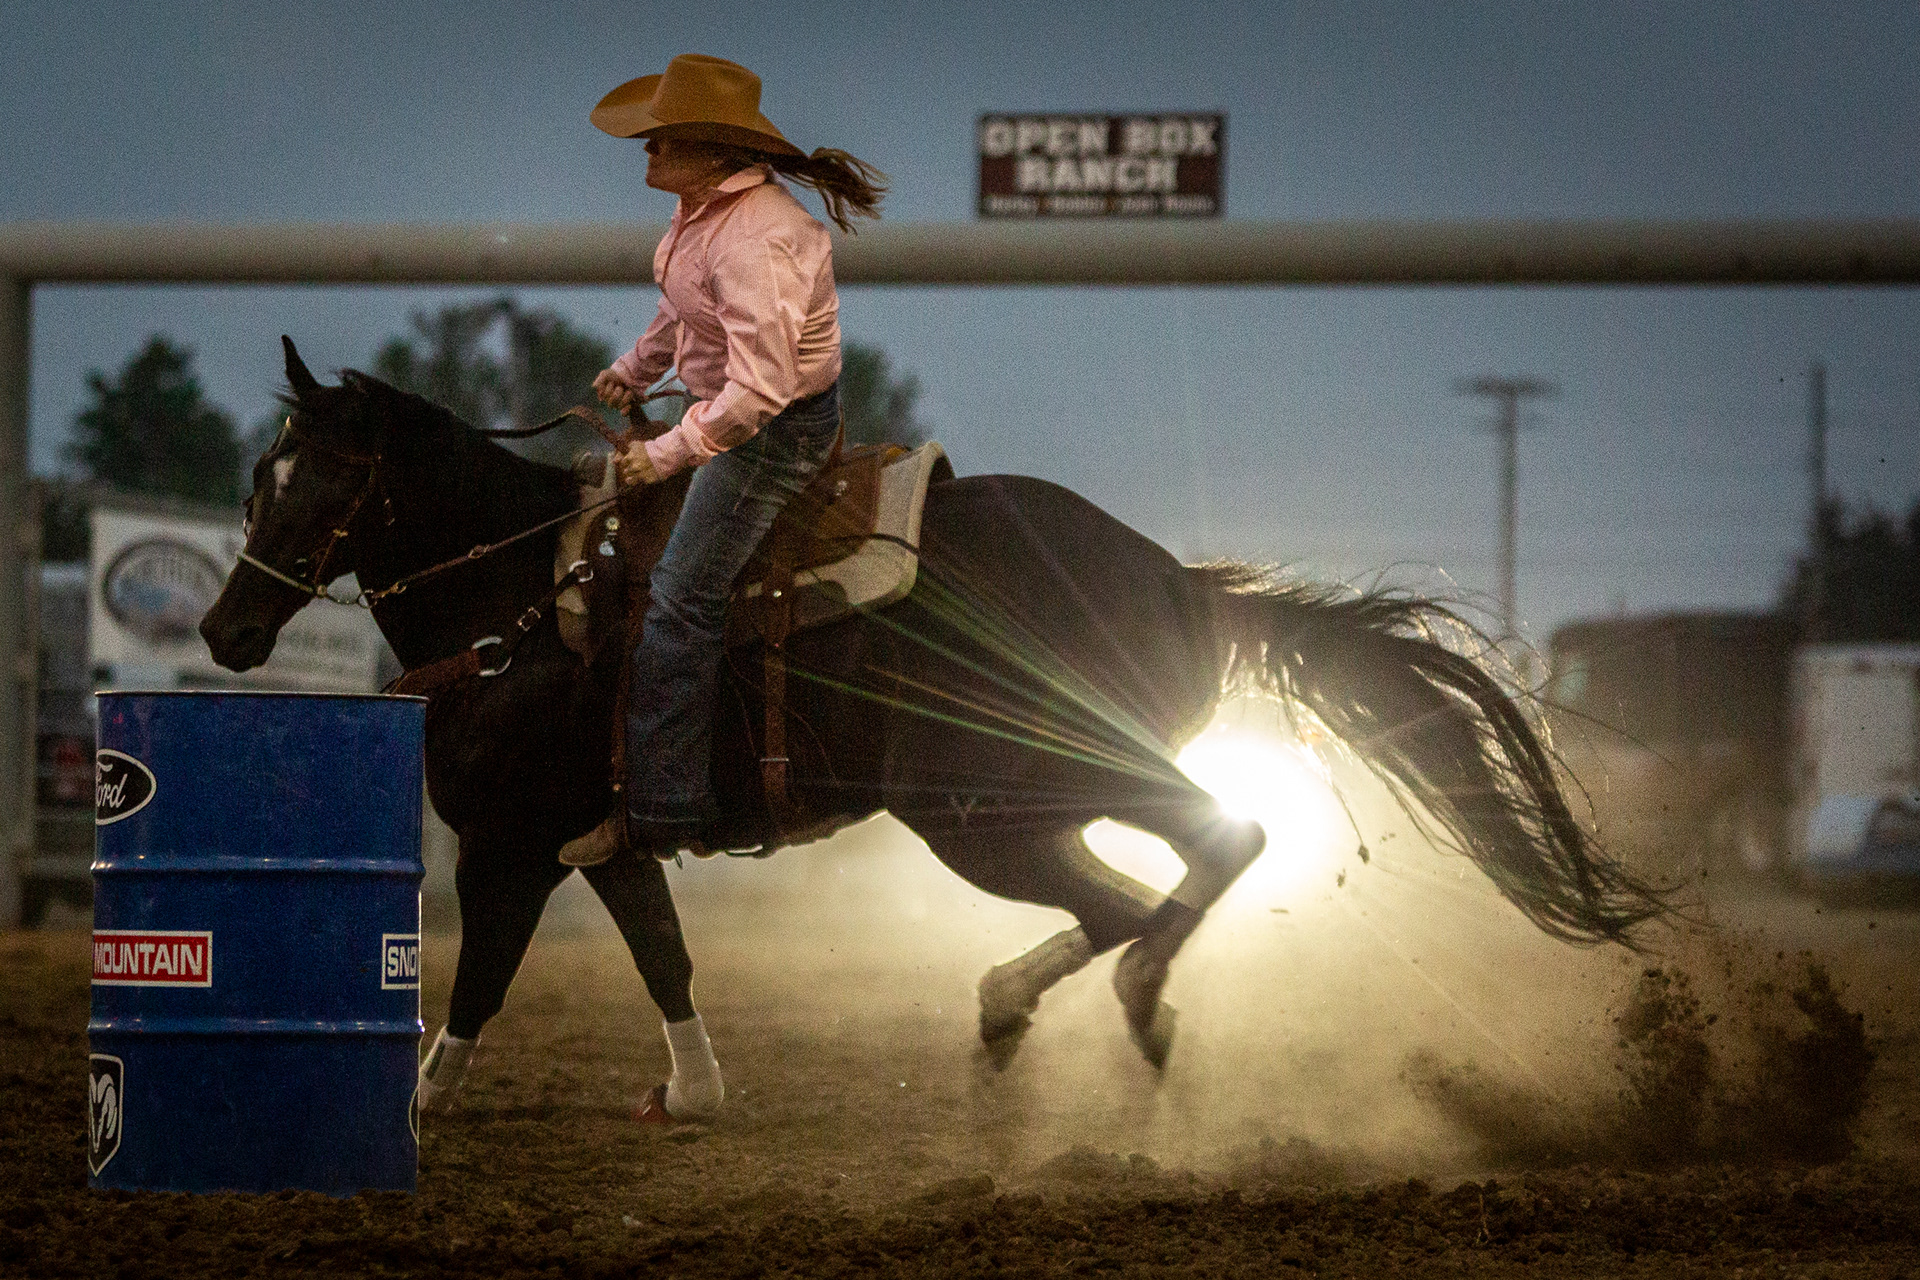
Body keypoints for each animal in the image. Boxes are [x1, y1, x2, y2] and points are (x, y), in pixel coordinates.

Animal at [201, 337, 1663, 1119]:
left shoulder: (506, 848)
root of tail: (1181, 582)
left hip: (999, 802)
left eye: (321, 480)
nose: (224, 630)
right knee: (1160, 870)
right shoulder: (599, 844)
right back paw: (1028, 1002)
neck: (521, 602)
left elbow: (478, 991)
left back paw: (1124, 998)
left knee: (1201, 851)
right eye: (261, 472)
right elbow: (665, 957)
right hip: (1021, 803)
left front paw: (410, 1116)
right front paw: (695, 1094)